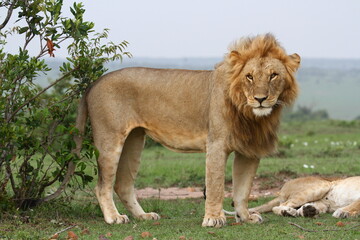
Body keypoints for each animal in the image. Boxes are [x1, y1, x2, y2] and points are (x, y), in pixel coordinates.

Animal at [73, 33, 300, 227]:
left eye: (273, 75)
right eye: (250, 76)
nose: (260, 99)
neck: (249, 112)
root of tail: (95, 82)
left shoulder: (249, 150)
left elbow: (242, 190)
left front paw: (245, 217)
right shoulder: (216, 144)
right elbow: (216, 185)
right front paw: (213, 219)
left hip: (134, 140)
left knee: (123, 184)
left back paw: (144, 216)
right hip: (110, 139)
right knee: (102, 185)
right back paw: (114, 218)